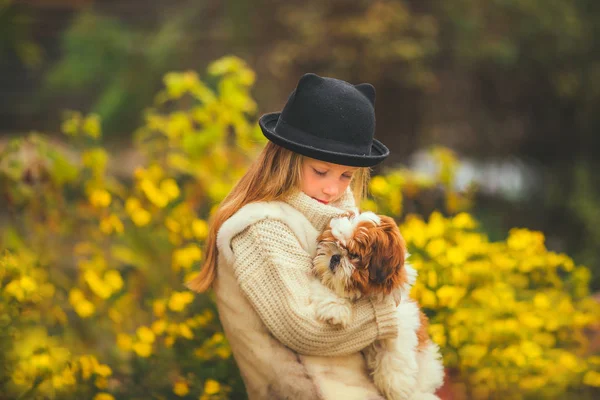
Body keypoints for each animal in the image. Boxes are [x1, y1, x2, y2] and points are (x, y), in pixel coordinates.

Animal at [310, 211, 446, 398]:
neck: (365, 294)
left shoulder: (401, 320)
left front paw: (395, 387)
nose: (335, 257)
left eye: (354, 255)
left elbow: (394, 352)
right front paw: (335, 308)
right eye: (332, 244)